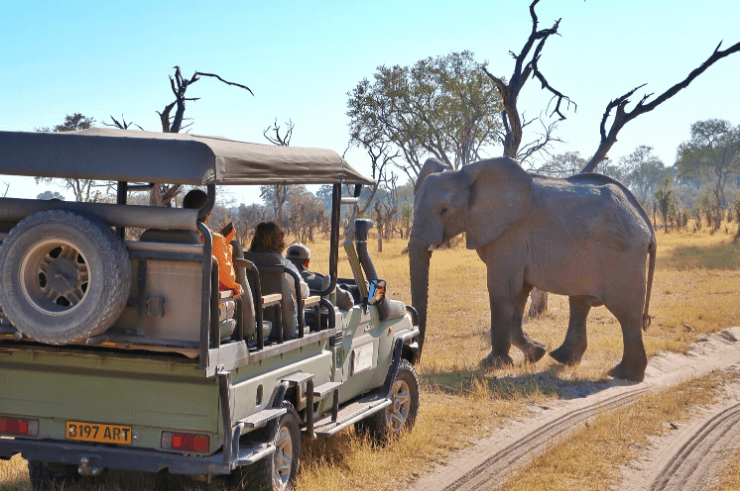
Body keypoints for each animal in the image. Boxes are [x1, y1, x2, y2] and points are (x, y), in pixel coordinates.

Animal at [408, 156, 656, 382]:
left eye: (444, 210)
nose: (415, 359)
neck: (465, 175)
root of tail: (647, 225)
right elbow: (518, 293)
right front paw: (535, 354)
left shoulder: (510, 234)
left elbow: (501, 289)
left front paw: (491, 365)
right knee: (580, 303)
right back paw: (563, 359)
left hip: (622, 257)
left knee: (626, 315)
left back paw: (623, 375)